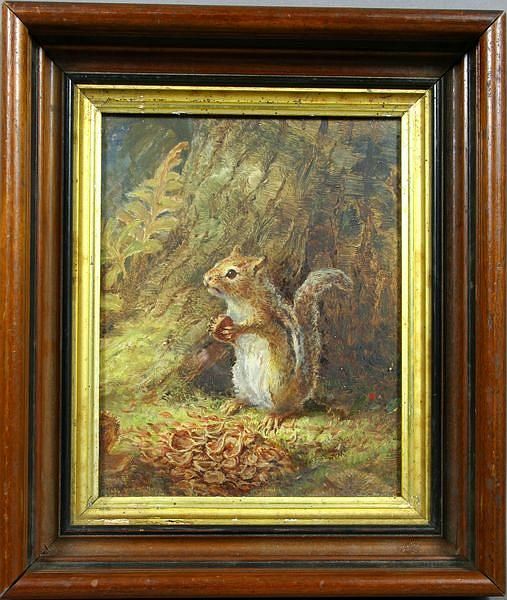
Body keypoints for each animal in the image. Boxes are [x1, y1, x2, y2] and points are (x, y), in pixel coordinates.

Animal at [203, 246, 353, 424]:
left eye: (231, 273)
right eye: (217, 263)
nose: (206, 278)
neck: (239, 301)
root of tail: (302, 388)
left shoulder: (266, 316)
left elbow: (256, 325)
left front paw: (236, 328)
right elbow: (231, 339)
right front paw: (216, 327)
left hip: (276, 384)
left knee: (293, 408)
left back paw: (275, 415)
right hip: (240, 378)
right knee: (250, 399)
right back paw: (236, 402)